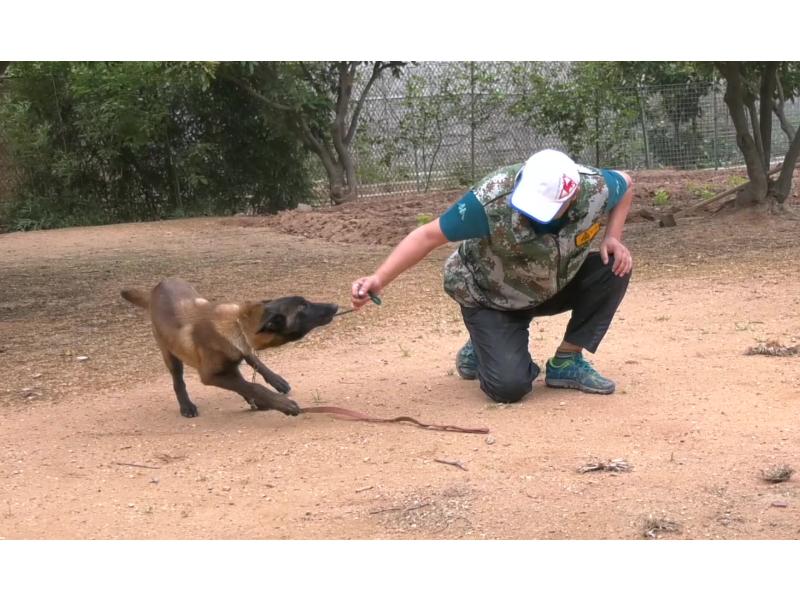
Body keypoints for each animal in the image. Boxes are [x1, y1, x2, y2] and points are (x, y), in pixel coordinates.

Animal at [122, 278, 338, 420]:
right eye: (303, 307)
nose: (335, 305)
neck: (237, 323)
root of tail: (156, 288)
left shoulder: (234, 358)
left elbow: (247, 379)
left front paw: (268, 397)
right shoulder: (210, 375)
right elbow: (252, 386)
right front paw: (282, 404)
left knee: (251, 363)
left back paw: (274, 383)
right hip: (169, 353)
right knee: (178, 381)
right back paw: (186, 405)